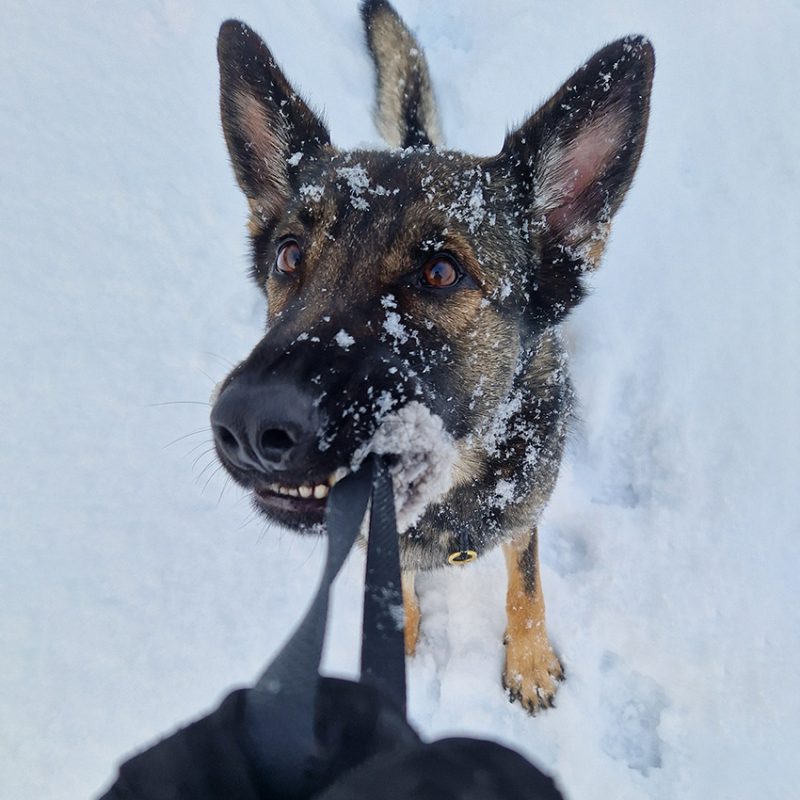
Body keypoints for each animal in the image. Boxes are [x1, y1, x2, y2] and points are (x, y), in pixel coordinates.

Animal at [212, 0, 656, 712]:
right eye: (288, 255)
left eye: (442, 272)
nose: (248, 424)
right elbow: (399, 591)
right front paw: (400, 648)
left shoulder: (525, 511)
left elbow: (526, 581)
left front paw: (529, 660)